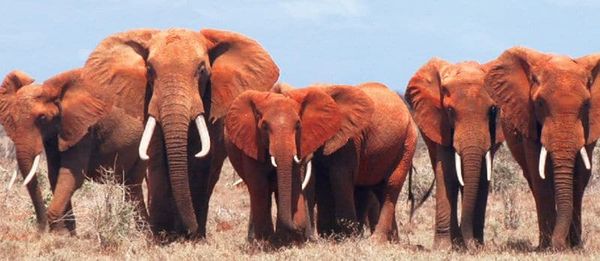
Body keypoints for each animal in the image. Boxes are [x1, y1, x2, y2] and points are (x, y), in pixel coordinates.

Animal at [0, 68, 149, 233]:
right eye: (11, 119)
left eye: (42, 118)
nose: (40, 231)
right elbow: (55, 173)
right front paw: (66, 234)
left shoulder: (84, 129)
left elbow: (71, 175)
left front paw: (59, 234)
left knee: (132, 186)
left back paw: (146, 235)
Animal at [81, 28, 280, 238]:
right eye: (149, 70)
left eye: (202, 70)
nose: (189, 230)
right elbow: (158, 160)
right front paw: (162, 236)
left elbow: (202, 162)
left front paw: (192, 236)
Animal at [404, 59, 506, 250]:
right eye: (450, 110)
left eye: (492, 110)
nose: (472, 247)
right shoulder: (441, 124)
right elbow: (448, 173)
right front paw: (443, 248)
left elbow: (482, 178)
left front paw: (476, 245)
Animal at [482, 46, 600, 248]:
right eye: (540, 103)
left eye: (586, 105)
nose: (560, 245)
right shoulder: (528, 119)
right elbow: (540, 177)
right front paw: (548, 247)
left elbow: (580, 176)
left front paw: (574, 246)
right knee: (533, 180)